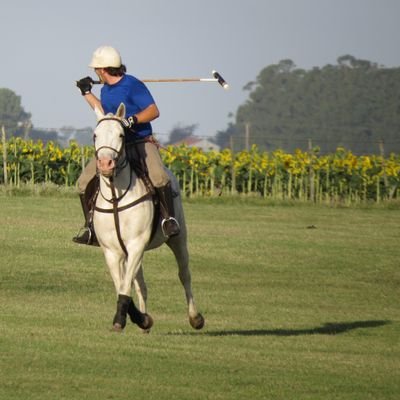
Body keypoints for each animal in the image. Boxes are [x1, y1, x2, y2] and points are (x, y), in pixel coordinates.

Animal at [90, 102, 203, 332]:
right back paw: (145, 323)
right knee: (140, 283)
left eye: (121, 134)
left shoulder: (136, 243)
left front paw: (121, 320)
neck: (115, 197)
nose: (105, 164)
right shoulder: (113, 251)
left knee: (184, 274)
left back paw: (195, 318)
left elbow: (125, 285)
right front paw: (141, 318)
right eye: (95, 135)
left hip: (179, 238)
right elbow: (122, 284)